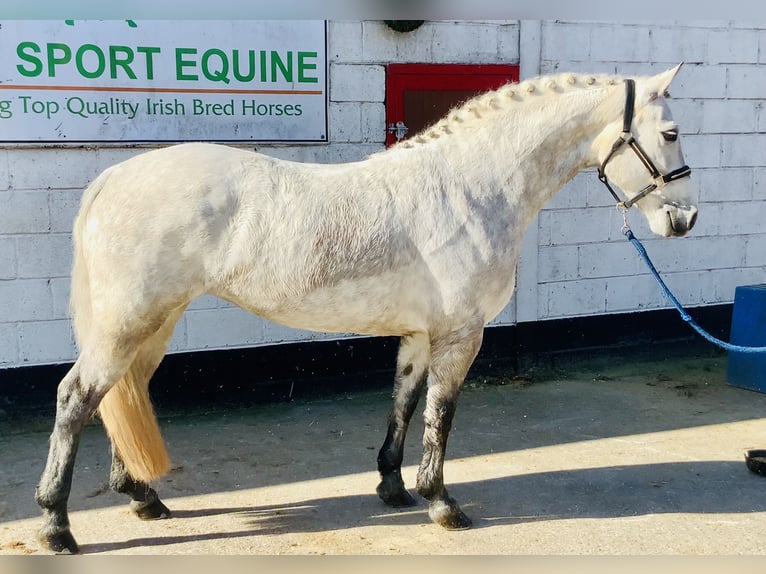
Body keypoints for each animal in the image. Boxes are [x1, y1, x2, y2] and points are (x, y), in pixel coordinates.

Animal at [35, 65, 697, 553]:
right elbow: (441, 414)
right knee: (76, 398)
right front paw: (442, 503)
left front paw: (393, 487)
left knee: (124, 393)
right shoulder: (462, 335)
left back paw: (143, 498)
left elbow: (403, 403)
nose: (684, 220)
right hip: (129, 323)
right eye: (670, 133)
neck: (471, 188)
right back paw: (56, 526)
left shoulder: (421, 335)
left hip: (153, 325)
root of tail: (114, 177)